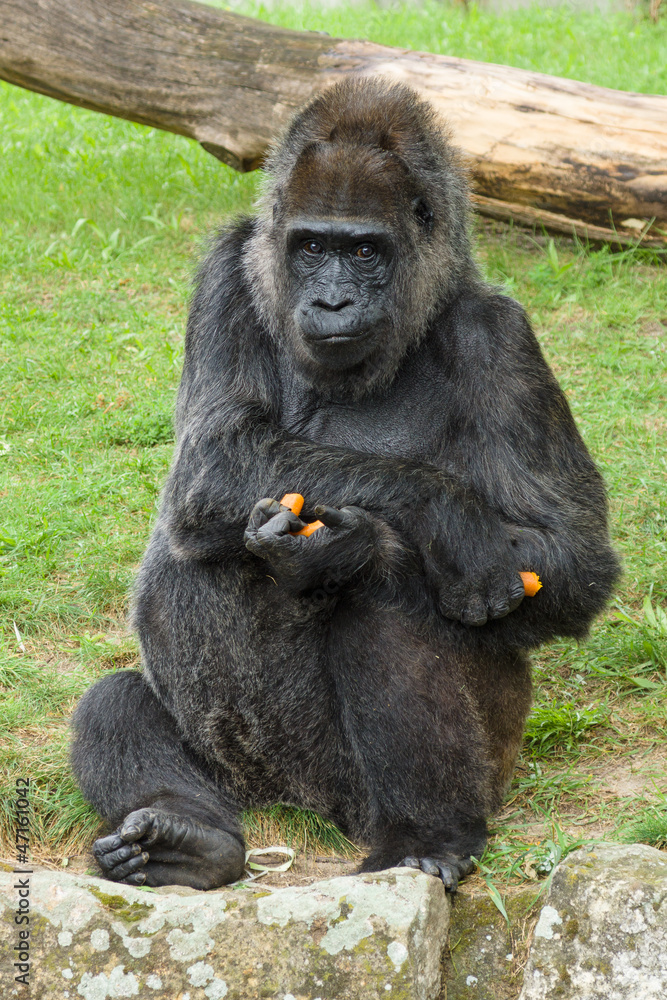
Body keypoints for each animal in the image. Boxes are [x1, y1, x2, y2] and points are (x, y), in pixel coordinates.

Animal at [71, 76, 620, 892]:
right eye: (310, 248)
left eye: (364, 251)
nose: (331, 303)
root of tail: (293, 804)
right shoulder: (228, 270)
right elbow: (212, 462)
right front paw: (439, 514)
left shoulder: (500, 336)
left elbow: (574, 557)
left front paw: (422, 531)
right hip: (236, 775)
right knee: (112, 701)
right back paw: (185, 835)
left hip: (414, 783)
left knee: (387, 589)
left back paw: (430, 832)